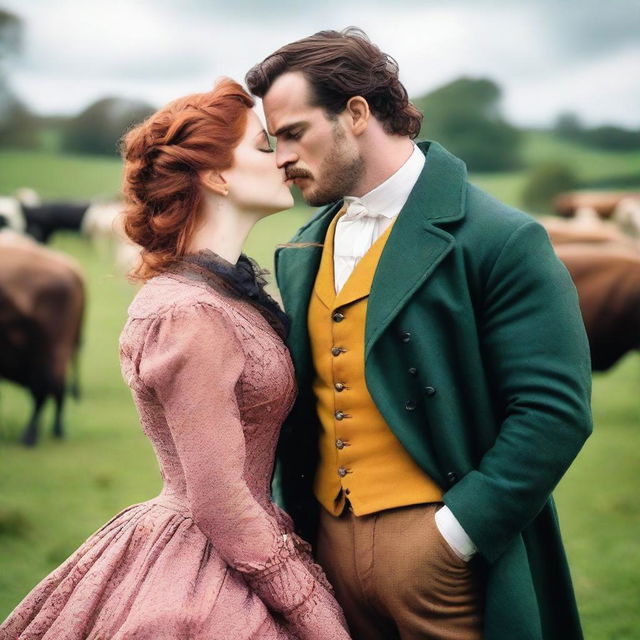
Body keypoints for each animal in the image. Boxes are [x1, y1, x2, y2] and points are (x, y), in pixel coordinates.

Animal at [0, 232, 85, 448]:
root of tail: (71, 272)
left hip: (48, 350)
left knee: (44, 389)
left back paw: (29, 436)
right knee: (56, 387)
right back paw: (55, 430)